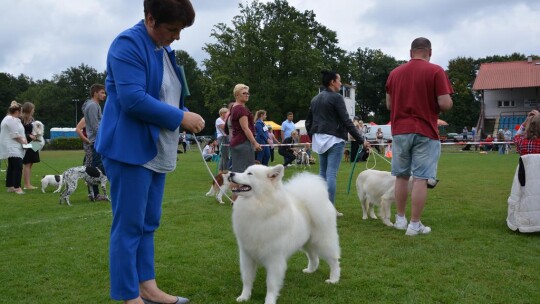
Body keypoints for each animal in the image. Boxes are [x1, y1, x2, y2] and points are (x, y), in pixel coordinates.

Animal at [229, 164, 340, 304]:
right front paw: (244, 297)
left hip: (323, 242)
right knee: (314, 257)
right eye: (244, 171)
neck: (260, 206)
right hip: (307, 242)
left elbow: (271, 284)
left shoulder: (274, 259)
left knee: (334, 260)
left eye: (250, 174)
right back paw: (310, 270)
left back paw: (334, 279)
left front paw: (269, 301)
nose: (230, 173)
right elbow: (247, 279)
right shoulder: (247, 255)